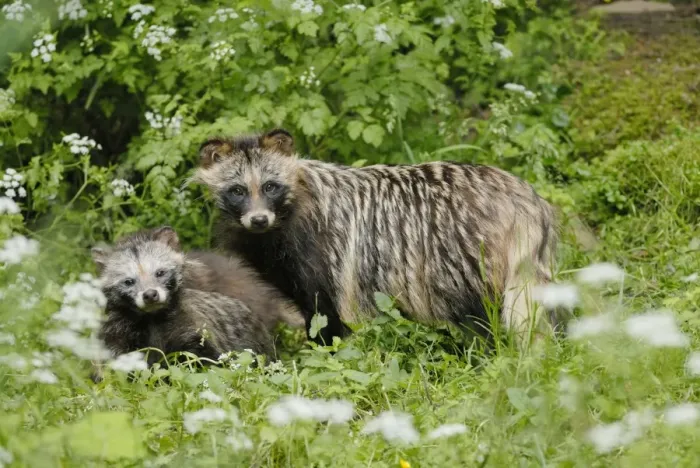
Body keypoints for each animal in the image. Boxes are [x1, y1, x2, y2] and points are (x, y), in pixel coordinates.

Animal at [193, 129, 558, 345]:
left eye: (270, 186)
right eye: (237, 190)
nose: (258, 219)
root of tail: (523, 199)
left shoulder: (324, 256)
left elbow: (326, 320)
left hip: (466, 256)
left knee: (485, 314)